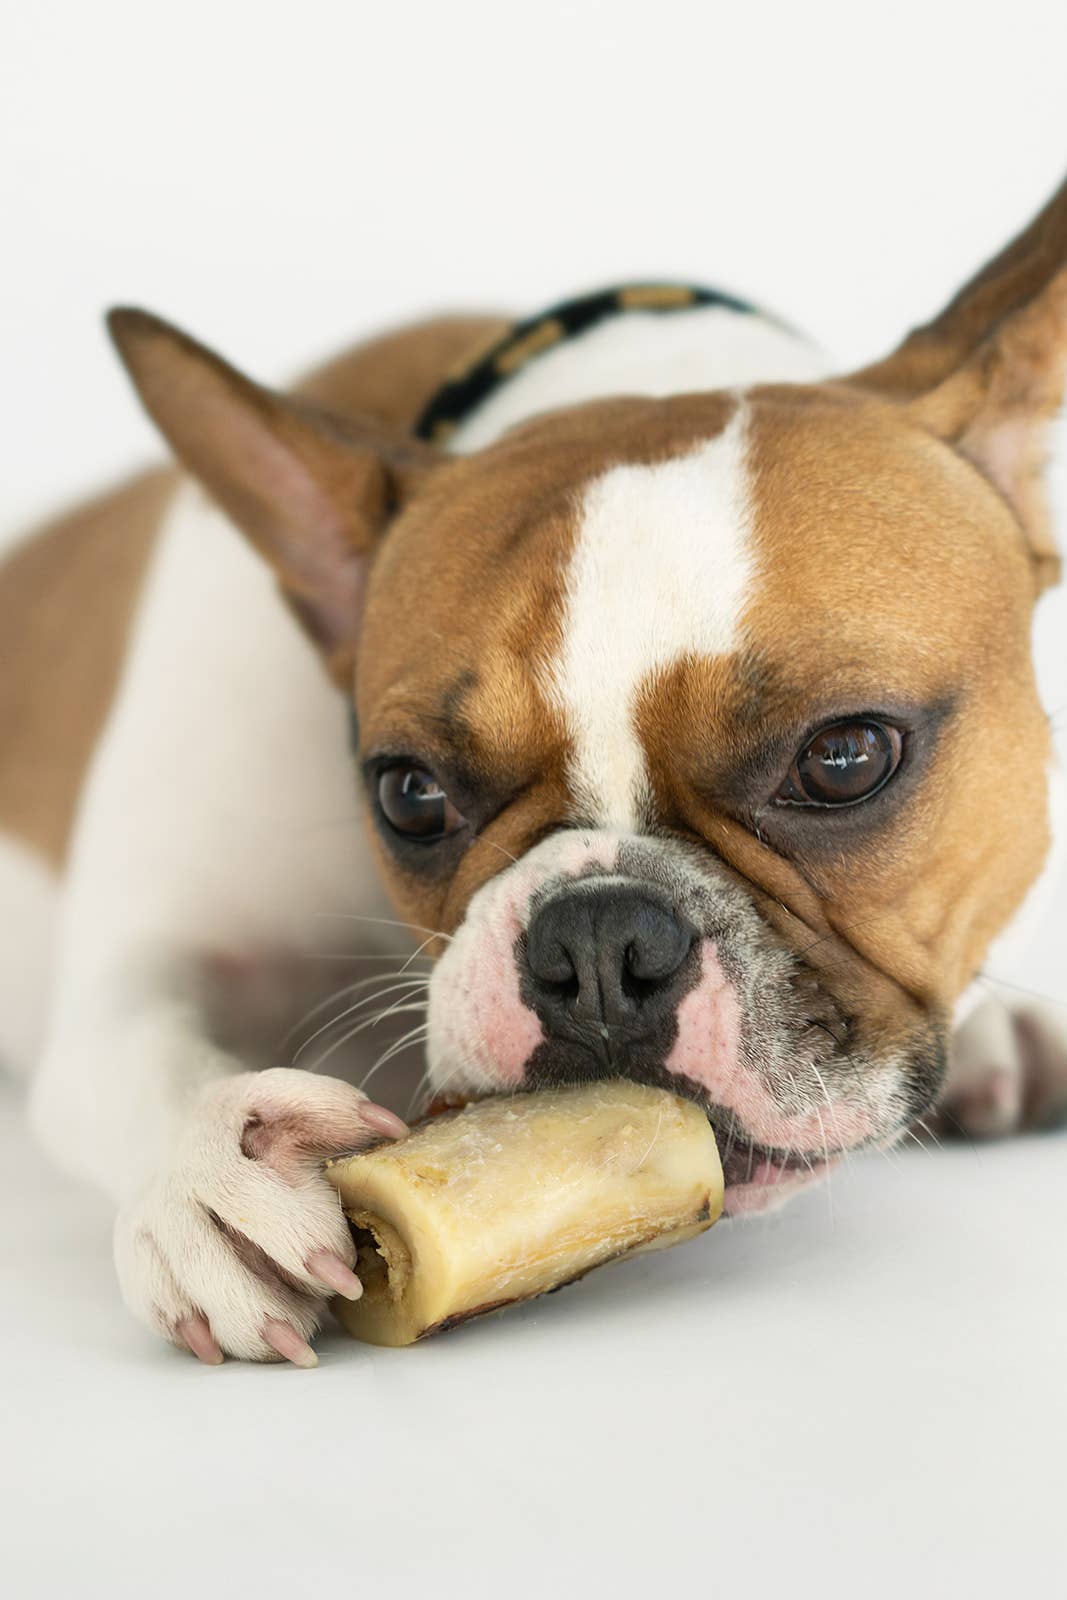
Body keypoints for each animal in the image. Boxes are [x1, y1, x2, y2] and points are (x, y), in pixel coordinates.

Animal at [2, 184, 1067, 1363]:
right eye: (409, 793)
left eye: (843, 758)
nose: (598, 941)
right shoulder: (141, 959)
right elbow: (138, 1041)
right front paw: (217, 1169)